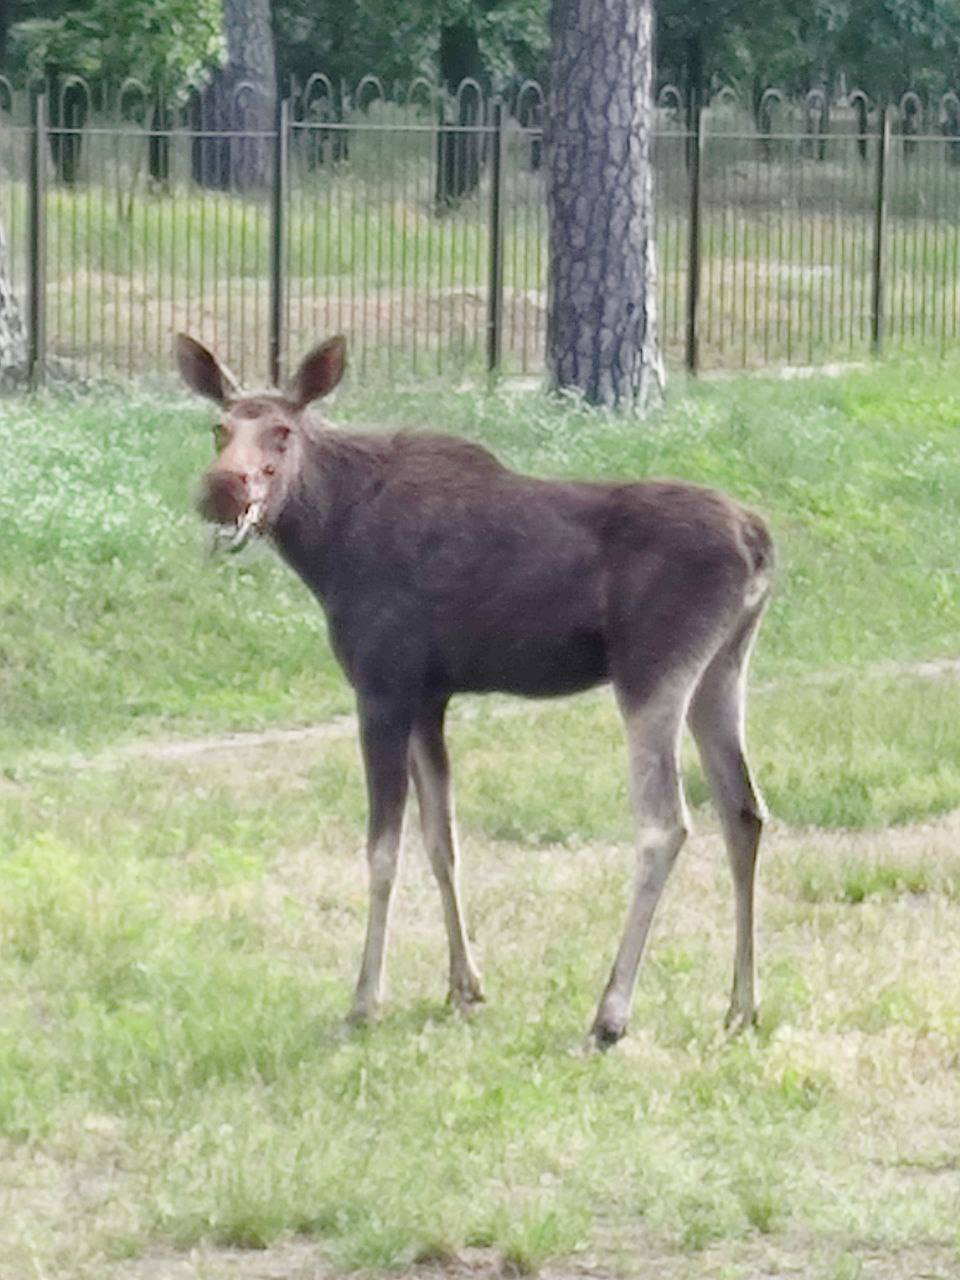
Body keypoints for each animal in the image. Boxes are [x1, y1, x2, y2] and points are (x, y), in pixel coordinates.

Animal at [175, 335, 773, 1044]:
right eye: (219, 428)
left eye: (282, 433)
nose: (222, 487)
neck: (325, 551)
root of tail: (760, 543)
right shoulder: (429, 696)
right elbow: (443, 841)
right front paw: (464, 987)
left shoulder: (382, 685)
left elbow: (383, 850)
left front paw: (365, 1001)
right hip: (723, 667)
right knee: (744, 810)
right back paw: (742, 1006)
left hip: (653, 671)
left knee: (665, 822)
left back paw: (611, 1014)